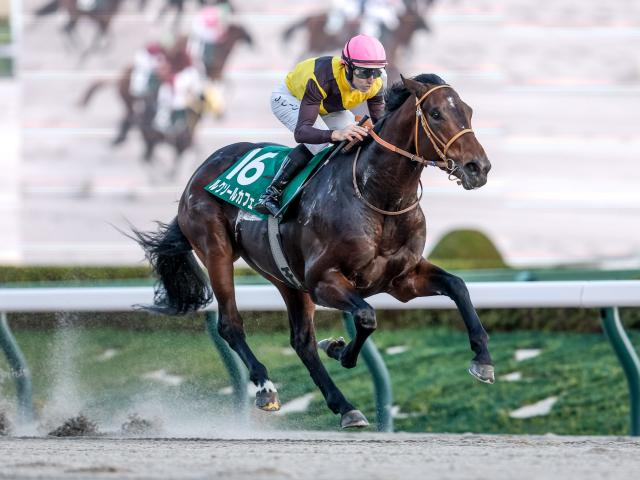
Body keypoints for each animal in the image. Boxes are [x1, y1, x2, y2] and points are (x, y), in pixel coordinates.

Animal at [132, 74, 494, 428]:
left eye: (469, 111)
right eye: (436, 113)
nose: (478, 168)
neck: (378, 196)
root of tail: (198, 173)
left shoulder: (402, 279)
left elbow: (457, 286)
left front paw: (483, 360)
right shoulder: (323, 281)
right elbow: (366, 317)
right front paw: (339, 350)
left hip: (285, 276)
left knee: (301, 340)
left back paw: (345, 407)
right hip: (216, 251)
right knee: (231, 325)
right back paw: (266, 388)